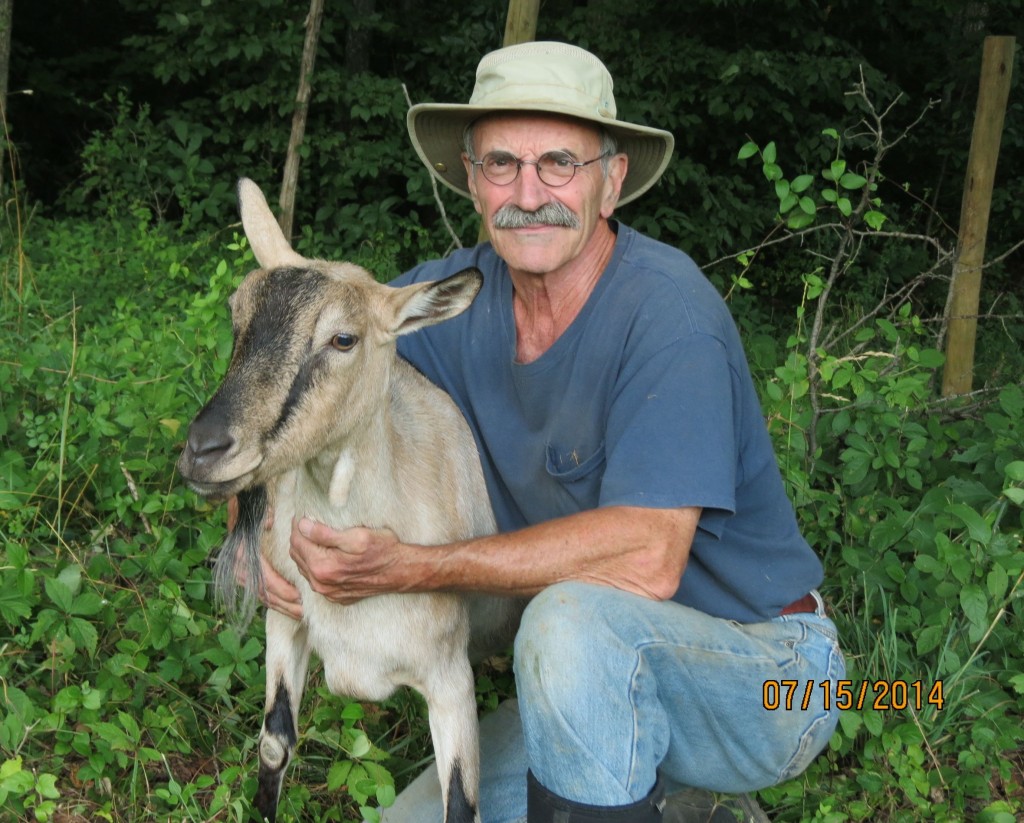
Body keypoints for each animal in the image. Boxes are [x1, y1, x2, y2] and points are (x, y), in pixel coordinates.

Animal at [175, 180, 520, 823]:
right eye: (236, 316)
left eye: (343, 339)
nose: (205, 450)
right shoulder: (285, 620)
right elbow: (274, 745)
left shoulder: (450, 680)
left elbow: (461, 802)